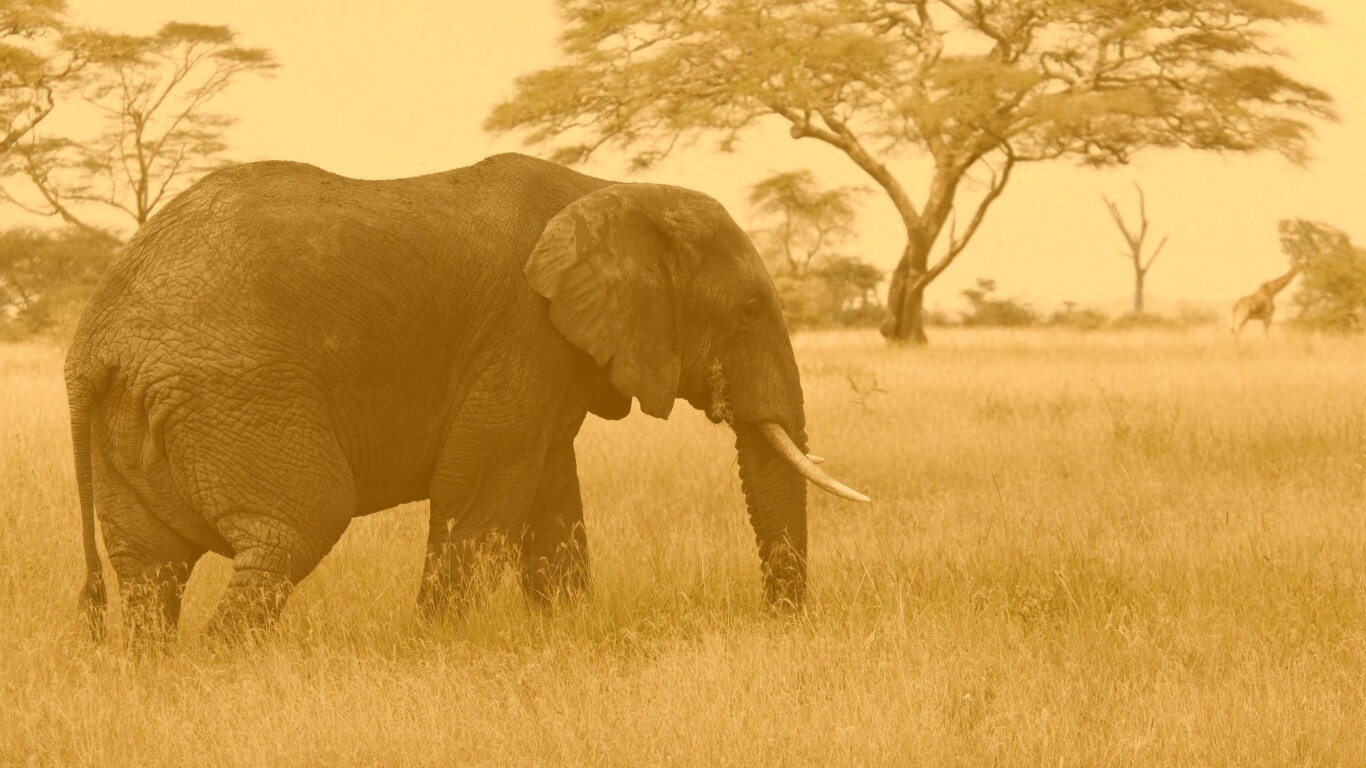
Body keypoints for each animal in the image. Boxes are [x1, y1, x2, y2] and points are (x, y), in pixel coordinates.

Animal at [65, 152, 868, 644]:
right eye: (747, 312)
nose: (780, 624)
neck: (607, 190)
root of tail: (93, 338)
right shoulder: (522, 335)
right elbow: (481, 489)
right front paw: (439, 648)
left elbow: (550, 498)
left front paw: (563, 635)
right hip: (235, 393)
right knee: (295, 527)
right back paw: (224, 668)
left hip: (139, 416)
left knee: (150, 571)